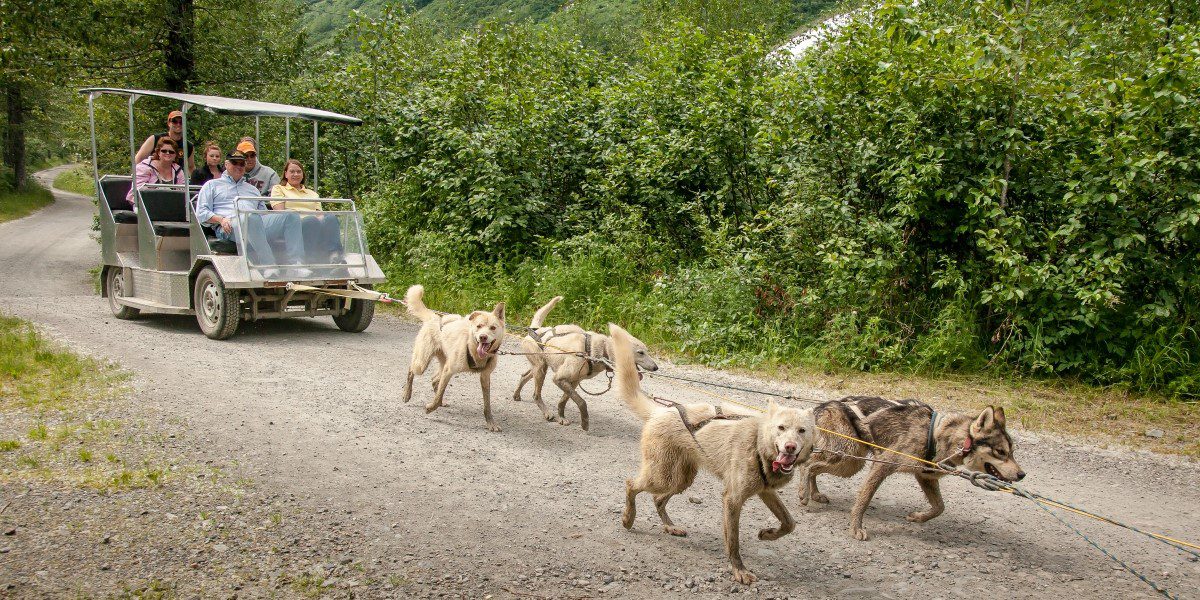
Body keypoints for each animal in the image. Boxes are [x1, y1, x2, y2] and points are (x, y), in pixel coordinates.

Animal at [403, 285, 506, 432]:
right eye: (479, 326)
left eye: (493, 327)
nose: (483, 337)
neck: (472, 348)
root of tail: (434, 317)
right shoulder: (449, 370)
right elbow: (439, 394)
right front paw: (430, 408)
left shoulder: (485, 377)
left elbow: (487, 405)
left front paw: (490, 423)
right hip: (422, 364)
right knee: (411, 370)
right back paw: (407, 394)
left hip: (442, 363)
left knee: (435, 380)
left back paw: (440, 401)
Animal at [508, 296, 657, 432]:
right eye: (640, 352)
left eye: (647, 351)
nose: (656, 367)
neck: (598, 350)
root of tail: (536, 329)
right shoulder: (559, 379)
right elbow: (581, 402)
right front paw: (585, 422)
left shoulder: (573, 381)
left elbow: (563, 401)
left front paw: (561, 417)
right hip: (540, 370)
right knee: (536, 394)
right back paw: (547, 413)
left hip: (540, 367)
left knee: (524, 376)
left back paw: (517, 395)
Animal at [609, 324, 816, 585]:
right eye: (781, 428)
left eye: (802, 430)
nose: (790, 447)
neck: (758, 444)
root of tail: (661, 411)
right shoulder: (732, 499)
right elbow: (733, 542)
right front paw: (739, 570)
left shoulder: (766, 492)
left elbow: (789, 523)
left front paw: (768, 534)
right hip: (662, 476)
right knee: (631, 485)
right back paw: (628, 517)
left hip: (681, 479)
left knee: (658, 499)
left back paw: (670, 527)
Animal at [796, 396, 1022, 542]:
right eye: (1000, 452)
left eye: (1012, 451)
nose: (1022, 474)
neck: (942, 436)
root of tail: (822, 406)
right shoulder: (882, 466)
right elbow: (863, 501)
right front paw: (856, 528)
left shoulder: (925, 477)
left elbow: (939, 507)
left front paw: (919, 517)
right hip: (849, 460)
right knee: (808, 465)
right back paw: (804, 492)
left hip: (849, 461)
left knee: (813, 465)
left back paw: (813, 493)